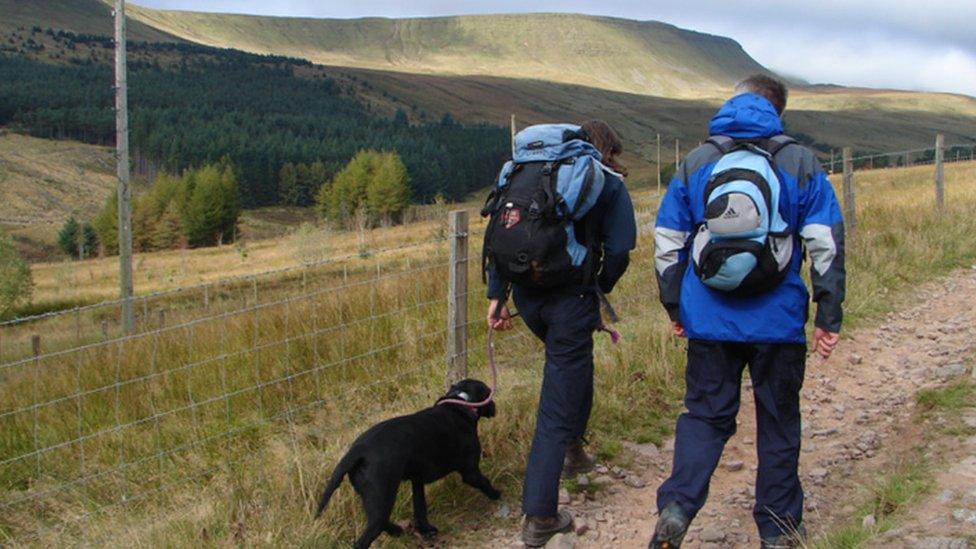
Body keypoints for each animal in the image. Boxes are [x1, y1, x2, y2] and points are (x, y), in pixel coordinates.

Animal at [314, 378, 500, 544]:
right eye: (489, 392)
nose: (494, 406)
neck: (462, 402)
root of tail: (357, 451)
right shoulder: (470, 472)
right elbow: (485, 482)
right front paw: (498, 494)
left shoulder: (417, 481)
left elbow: (420, 508)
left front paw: (426, 530)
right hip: (382, 494)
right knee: (367, 535)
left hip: (370, 496)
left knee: (381, 521)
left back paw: (397, 530)